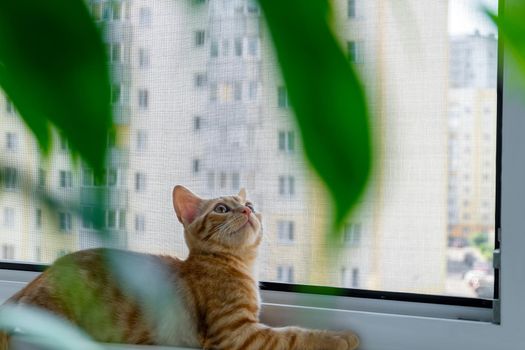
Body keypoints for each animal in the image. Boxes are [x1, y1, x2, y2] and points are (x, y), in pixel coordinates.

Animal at [0, 185, 358, 348]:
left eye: (250, 203)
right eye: (222, 208)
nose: (247, 211)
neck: (238, 265)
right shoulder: (237, 334)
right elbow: (293, 335)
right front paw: (341, 338)